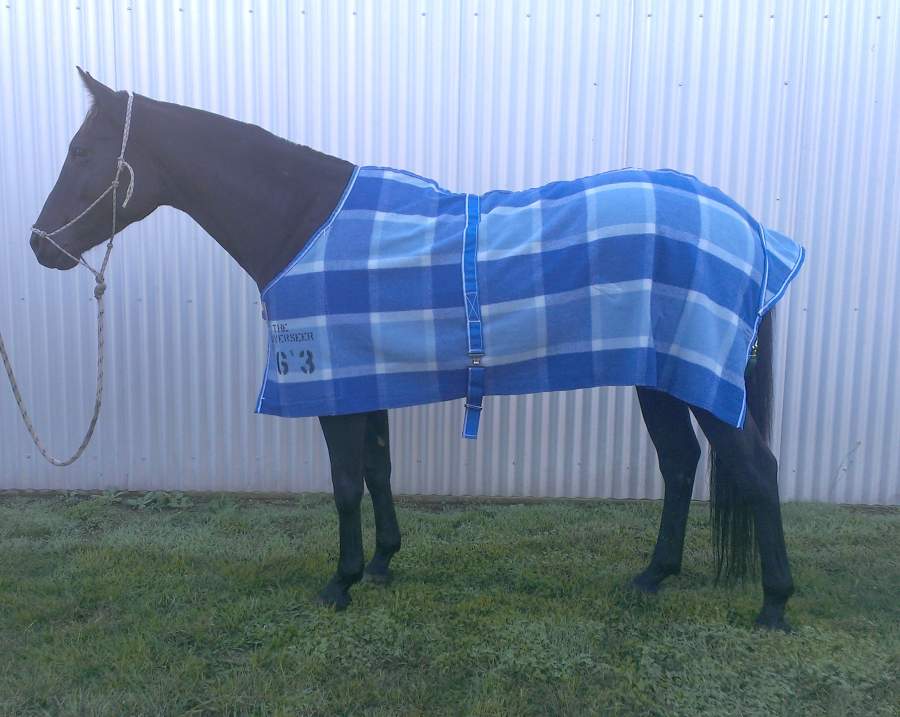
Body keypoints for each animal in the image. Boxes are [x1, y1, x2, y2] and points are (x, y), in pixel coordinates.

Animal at [28, 69, 798, 630]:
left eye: (81, 152)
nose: (41, 246)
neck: (304, 221)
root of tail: (751, 228)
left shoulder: (332, 380)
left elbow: (345, 482)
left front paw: (339, 583)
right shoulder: (365, 376)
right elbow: (378, 469)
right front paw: (382, 564)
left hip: (699, 375)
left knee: (756, 469)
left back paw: (775, 604)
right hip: (661, 374)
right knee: (680, 464)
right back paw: (653, 576)